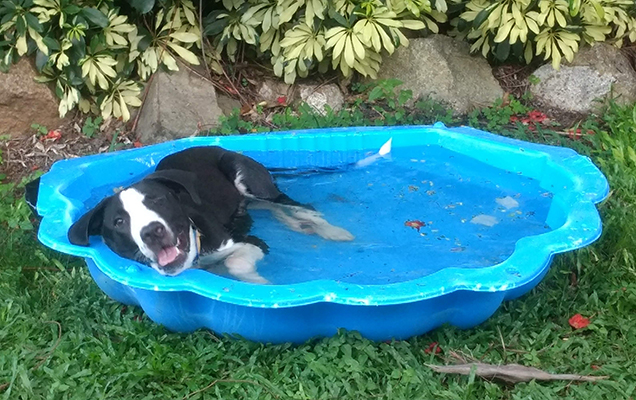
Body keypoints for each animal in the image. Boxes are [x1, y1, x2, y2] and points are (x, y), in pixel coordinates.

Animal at [70, 145, 358, 282]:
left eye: (158, 200)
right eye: (119, 222)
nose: (152, 231)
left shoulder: (251, 242)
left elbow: (235, 263)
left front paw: (259, 283)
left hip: (246, 176)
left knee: (296, 206)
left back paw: (332, 231)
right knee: (276, 210)